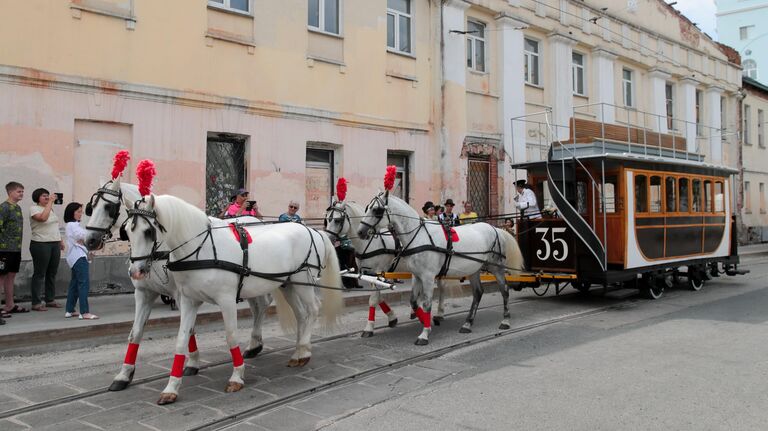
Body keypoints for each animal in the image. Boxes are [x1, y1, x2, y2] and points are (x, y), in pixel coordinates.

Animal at [83, 181, 270, 394]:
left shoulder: (180, 294)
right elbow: (135, 333)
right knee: (258, 307)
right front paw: (124, 375)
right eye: (91, 206)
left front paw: (192, 363)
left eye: (108, 207)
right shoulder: (144, 293)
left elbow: (189, 330)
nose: (89, 240)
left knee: (261, 305)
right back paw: (254, 344)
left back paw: (254, 343)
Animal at [126, 195, 342, 404]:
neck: (201, 248)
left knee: (313, 309)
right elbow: (181, 340)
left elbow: (231, 336)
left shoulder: (226, 300)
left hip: (303, 281)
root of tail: (313, 231)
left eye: (148, 231)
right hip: (288, 284)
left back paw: (304, 351)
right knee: (301, 315)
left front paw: (237, 377)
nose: (135, 271)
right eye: (127, 231)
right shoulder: (188, 301)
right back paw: (298, 351)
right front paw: (171, 388)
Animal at [324, 201, 450, 340]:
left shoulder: (379, 271)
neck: (371, 242)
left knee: (442, 287)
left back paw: (439, 313)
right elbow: (378, 298)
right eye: (327, 219)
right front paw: (392, 317)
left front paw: (369, 327)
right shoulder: (370, 274)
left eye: (337, 220)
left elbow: (373, 300)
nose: (327, 239)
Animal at [356, 194, 524, 346]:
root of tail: (495, 228)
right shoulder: (417, 276)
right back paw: (467, 324)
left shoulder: (428, 277)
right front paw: (427, 322)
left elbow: (427, 304)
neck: (419, 235)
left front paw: (424, 334)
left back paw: (505, 321)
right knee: (478, 293)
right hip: (474, 270)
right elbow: (414, 301)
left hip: (497, 268)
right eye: (367, 208)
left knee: (504, 291)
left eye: (377, 210)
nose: (360, 232)